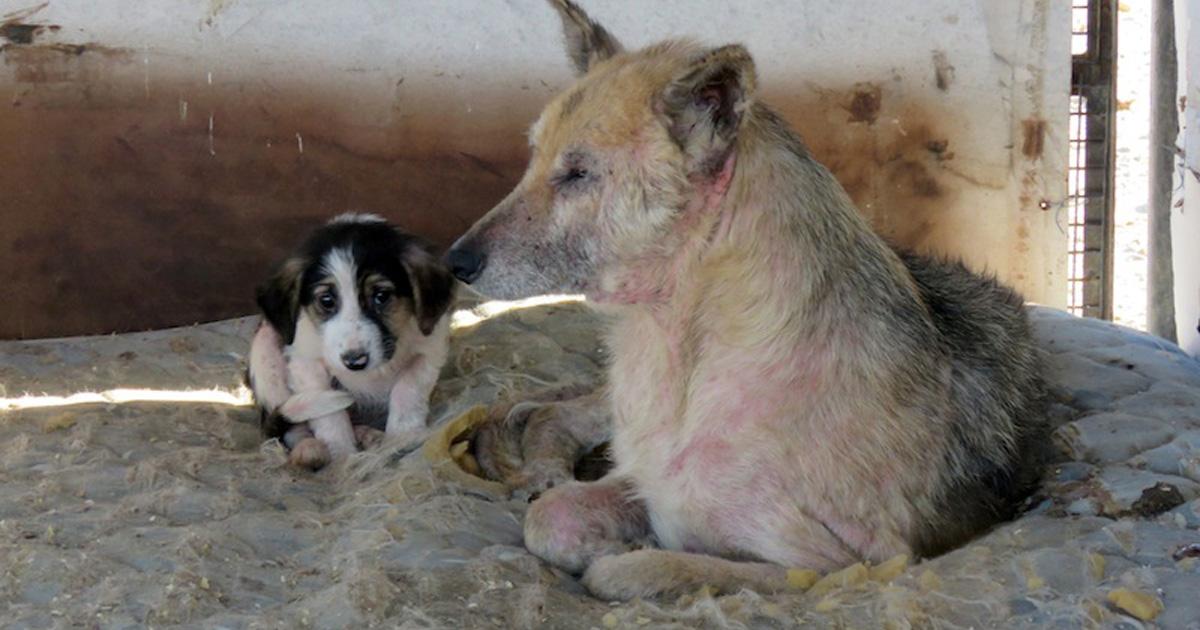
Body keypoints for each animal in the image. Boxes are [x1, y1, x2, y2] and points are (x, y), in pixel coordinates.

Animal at [248, 213, 453, 468]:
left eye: (381, 296)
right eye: (326, 300)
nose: (355, 361)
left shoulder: (429, 349)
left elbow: (408, 390)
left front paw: (401, 438)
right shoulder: (306, 362)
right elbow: (331, 417)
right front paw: (342, 456)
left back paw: (369, 435)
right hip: (265, 350)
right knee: (290, 425)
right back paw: (310, 449)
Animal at [446, 0, 1046, 600]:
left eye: (577, 174)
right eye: (533, 157)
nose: (455, 261)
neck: (691, 347)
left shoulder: (846, 566)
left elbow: (647, 569)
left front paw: (626, 556)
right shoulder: (644, 477)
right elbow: (550, 517)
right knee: (560, 414)